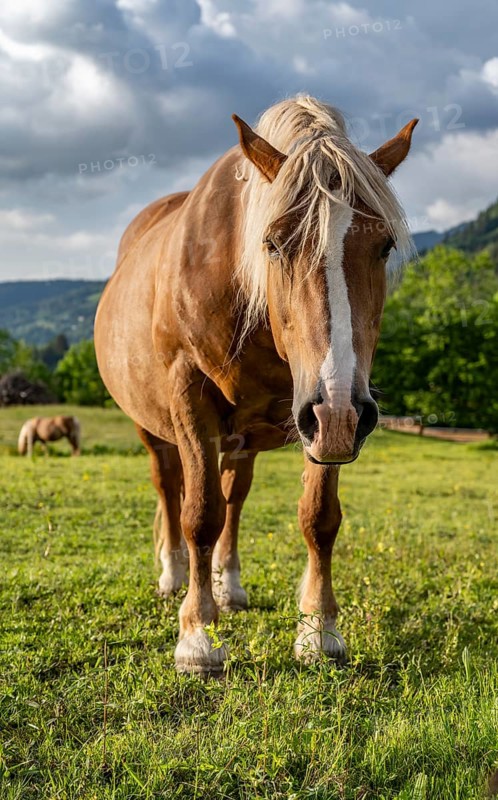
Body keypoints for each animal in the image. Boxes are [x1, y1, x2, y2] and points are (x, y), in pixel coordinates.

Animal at [95, 95, 418, 675]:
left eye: (383, 246)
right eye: (272, 243)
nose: (342, 410)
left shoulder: (325, 414)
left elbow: (317, 517)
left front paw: (319, 630)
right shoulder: (194, 399)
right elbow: (199, 515)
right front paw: (197, 637)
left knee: (235, 496)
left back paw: (229, 585)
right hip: (154, 428)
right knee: (169, 488)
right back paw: (173, 574)